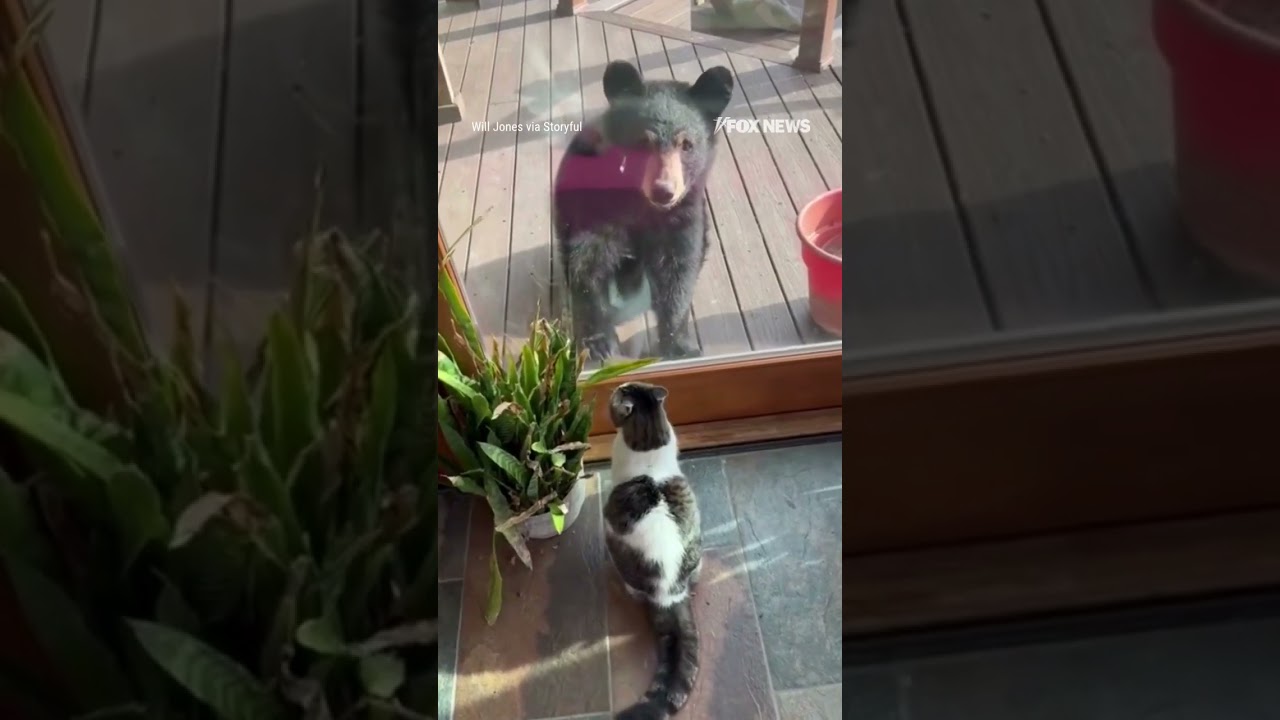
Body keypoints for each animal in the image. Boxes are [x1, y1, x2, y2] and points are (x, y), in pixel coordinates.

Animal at [553, 59, 735, 361]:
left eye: (686, 144)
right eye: (643, 141)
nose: (664, 190)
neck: (641, 203)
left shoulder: (683, 213)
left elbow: (679, 268)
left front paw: (679, 344)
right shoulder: (593, 203)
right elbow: (587, 262)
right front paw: (599, 342)